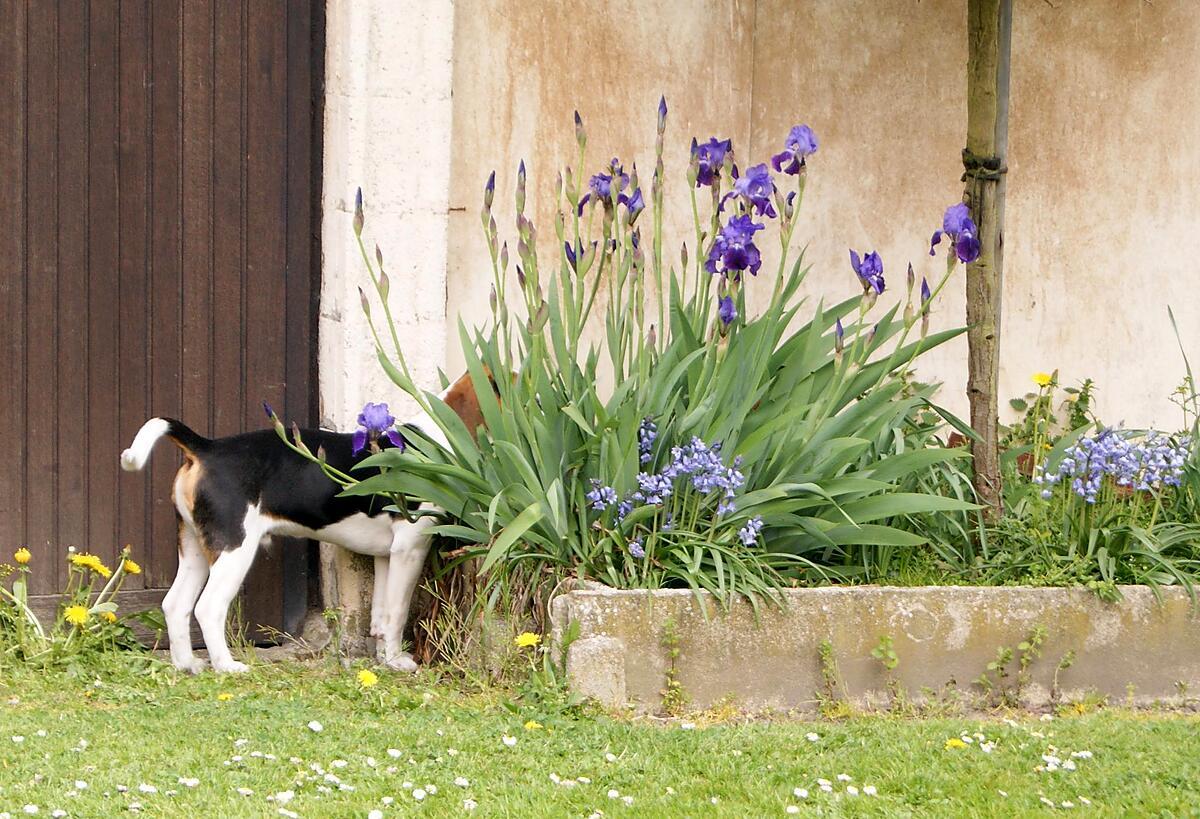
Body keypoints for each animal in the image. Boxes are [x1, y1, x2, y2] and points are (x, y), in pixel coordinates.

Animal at [117, 372, 482, 672]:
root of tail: (207, 448)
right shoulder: (410, 547)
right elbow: (397, 611)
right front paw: (396, 662)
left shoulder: (386, 555)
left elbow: (381, 614)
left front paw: (382, 658)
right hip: (235, 549)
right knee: (208, 608)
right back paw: (227, 666)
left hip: (194, 545)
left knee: (174, 604)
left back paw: (187, 664)